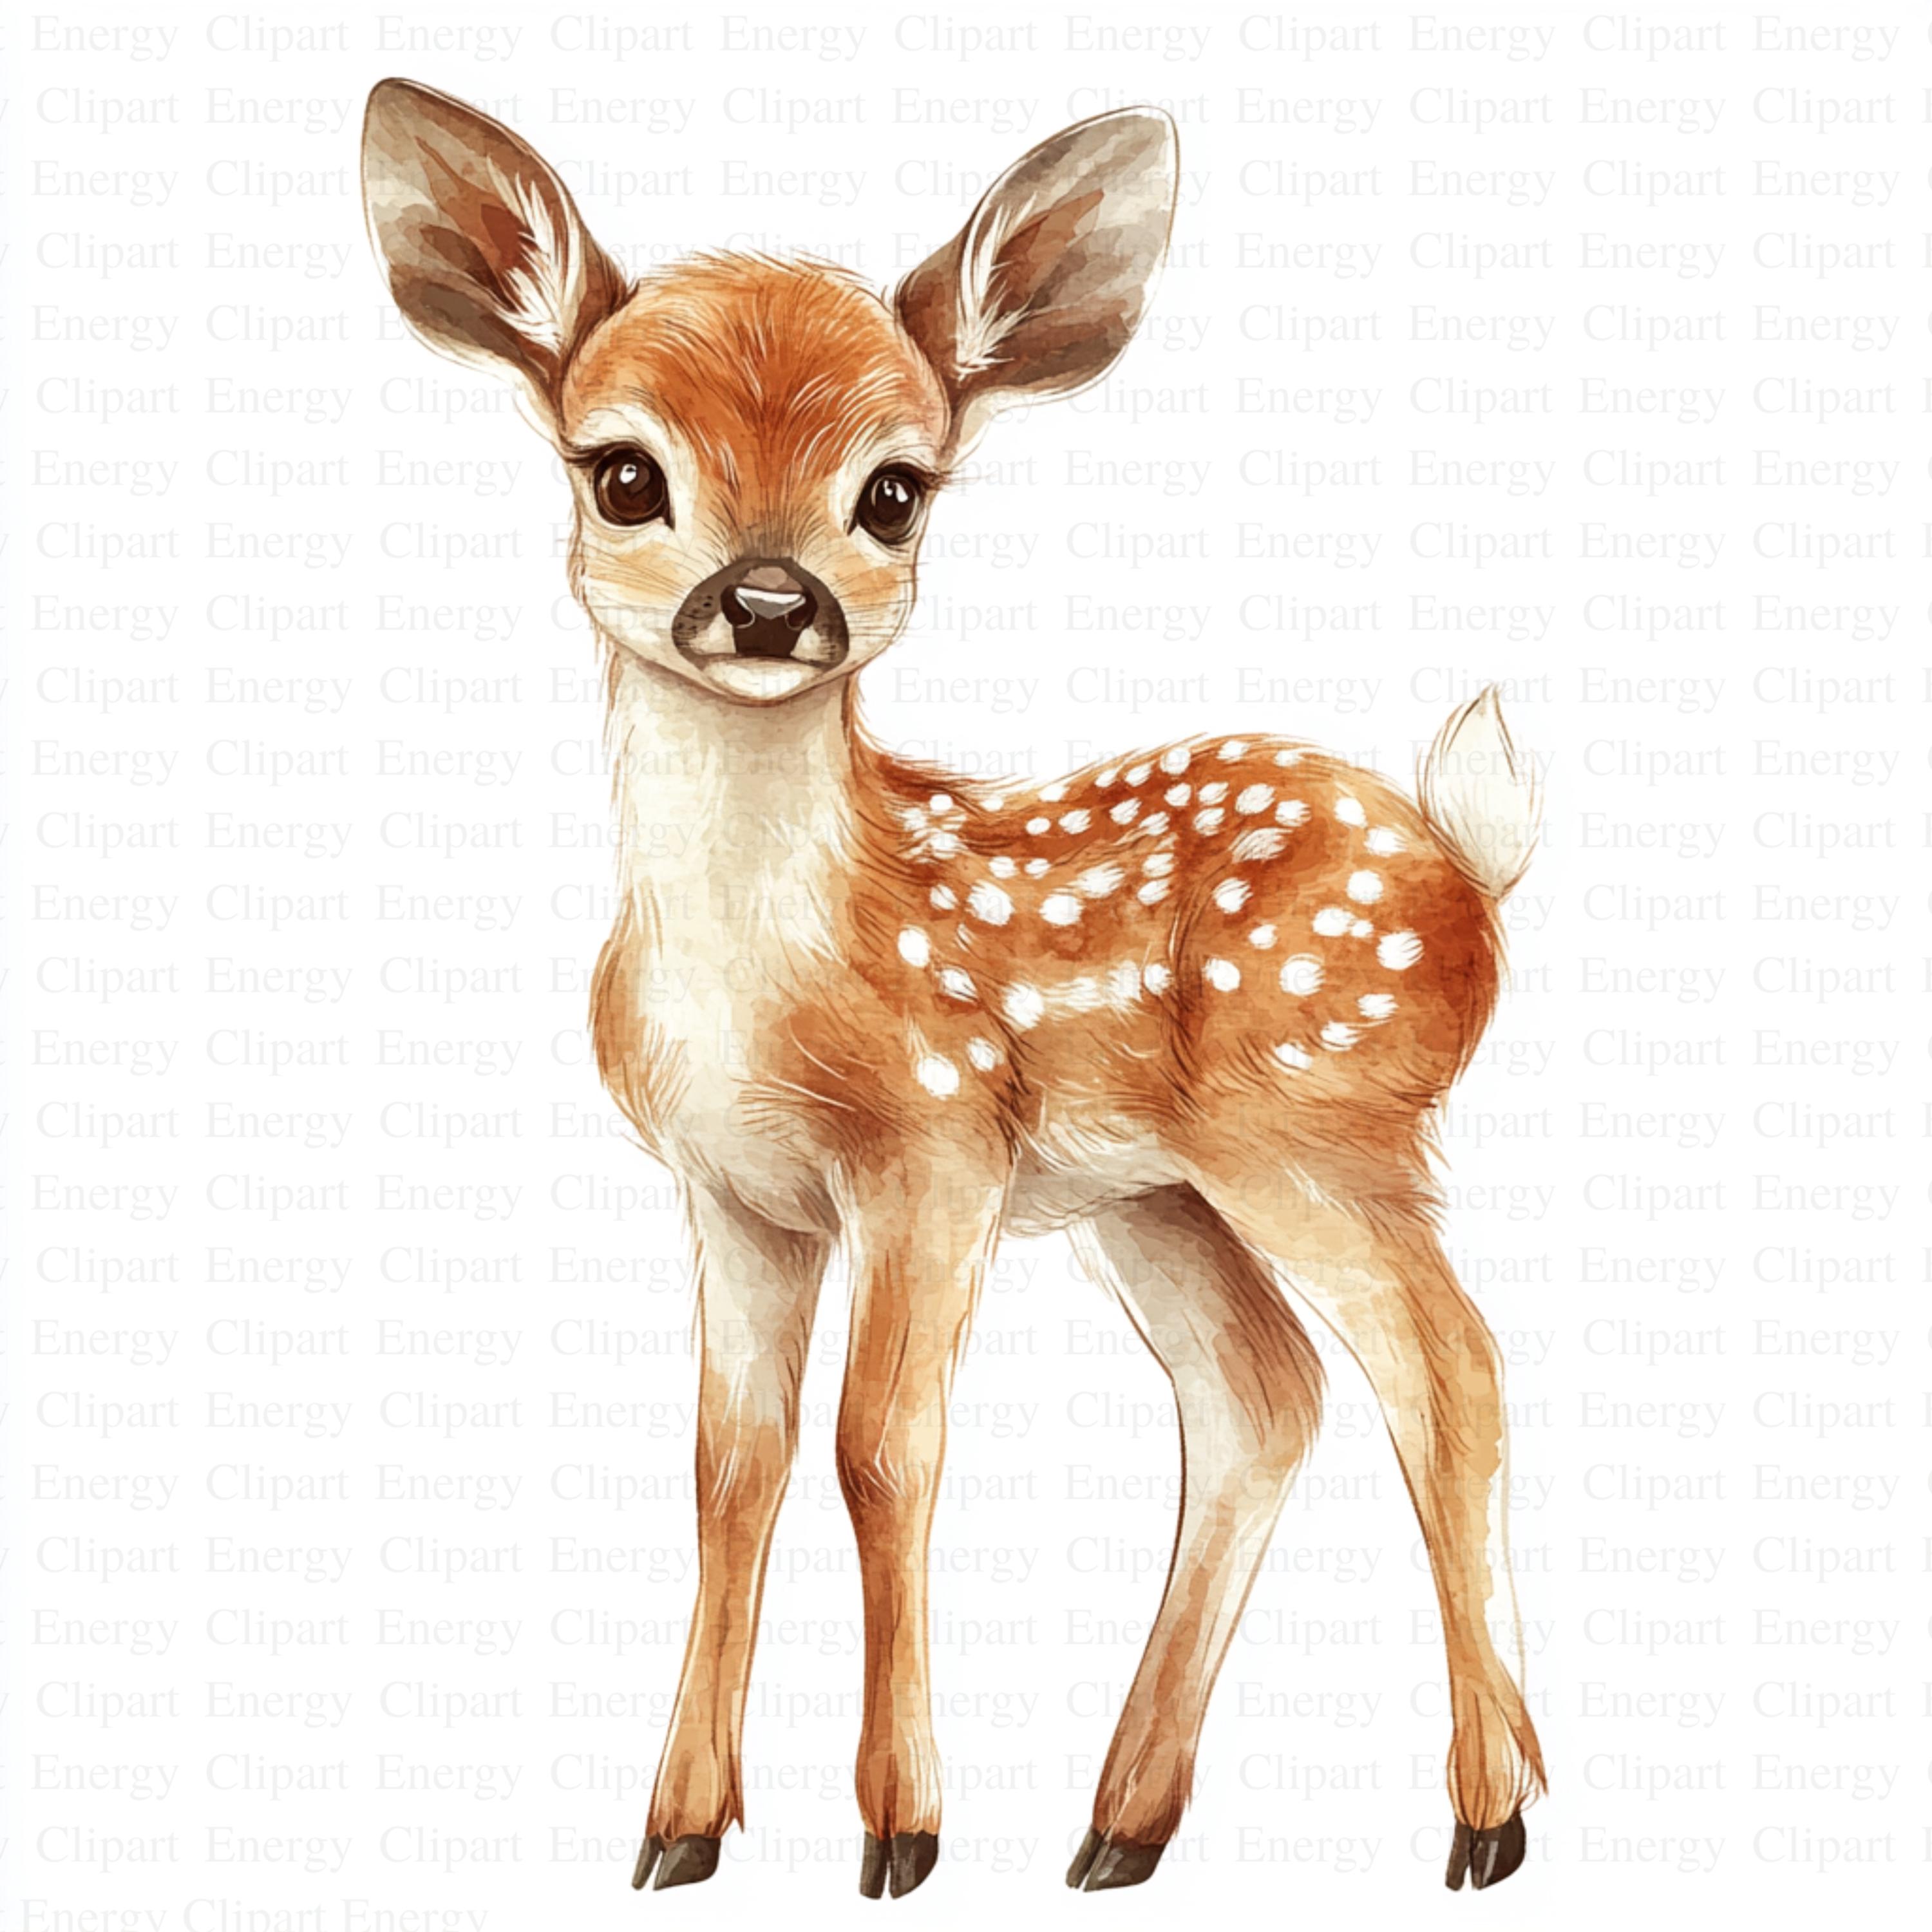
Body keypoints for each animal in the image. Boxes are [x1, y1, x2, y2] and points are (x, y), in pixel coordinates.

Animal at [361, 79, 1547, 1902]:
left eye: (895, 491)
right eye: (623, 473)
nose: (769, 603)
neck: (772, 974)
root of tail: (1467, 869)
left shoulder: (932, 1151)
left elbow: (880, 1448)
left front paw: (899, 1826)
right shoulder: (735, 1189)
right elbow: (733, 1467)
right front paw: (678, 1827)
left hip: (1318, 1120)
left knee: (1452, 1372)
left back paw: (1486, 1814)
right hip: (1157, 1190)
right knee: (1262, 1396)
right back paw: (1119, 1826)